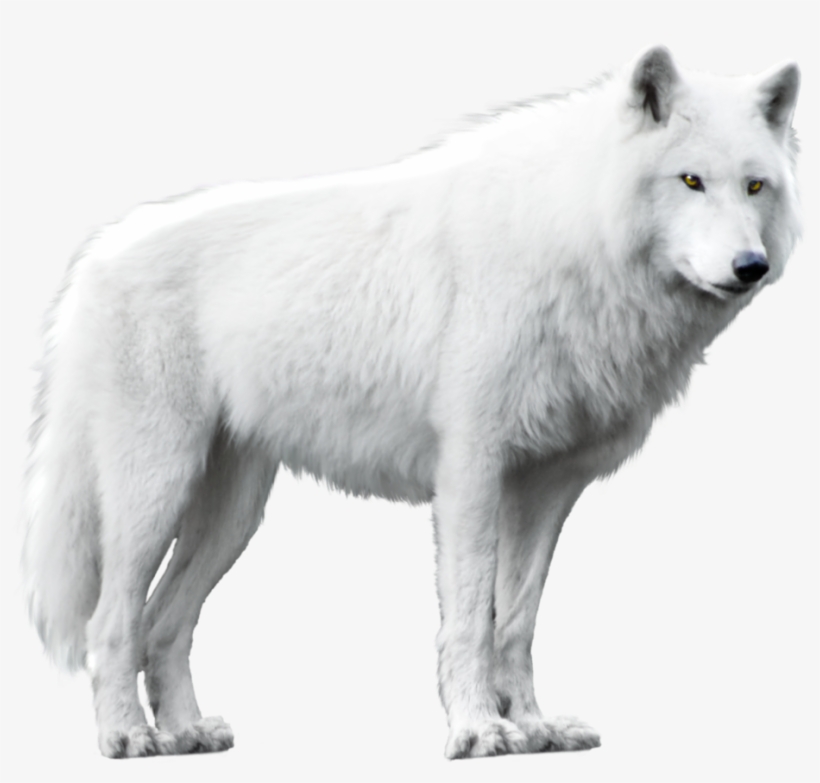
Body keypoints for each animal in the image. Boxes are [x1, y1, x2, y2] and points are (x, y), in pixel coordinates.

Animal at [22, 46, 801, 759]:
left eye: (755, 186)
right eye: (691, 180)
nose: (750, 267)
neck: (572, 234)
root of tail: (96, 257)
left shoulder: (546, 486)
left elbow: (517, 621)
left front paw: (534, 728)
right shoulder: (471, 473)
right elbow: (471, 617)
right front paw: (478, 730)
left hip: (234, 516)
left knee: (165, 622)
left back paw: (186, 732)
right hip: (155, 492)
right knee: (111, 621)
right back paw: (126, 736)